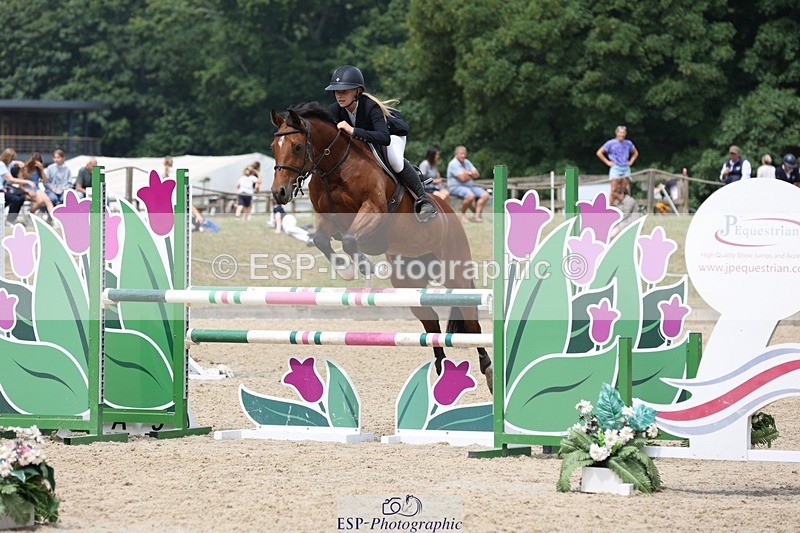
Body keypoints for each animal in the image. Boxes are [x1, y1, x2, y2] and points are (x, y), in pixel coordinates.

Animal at [269, 102, 492, 389]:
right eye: (273, 147)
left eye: (297, 146)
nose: (279, 193)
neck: (334, 167)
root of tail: (449, 212)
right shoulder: (328, 219)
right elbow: (322, 239)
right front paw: (348, 269)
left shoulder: (373, 210)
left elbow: (350, 240)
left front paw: (363, 266)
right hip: (409, 282)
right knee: (431, 323)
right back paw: (441, 372)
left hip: (455, 272)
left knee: (471, 321)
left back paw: (487, 368)